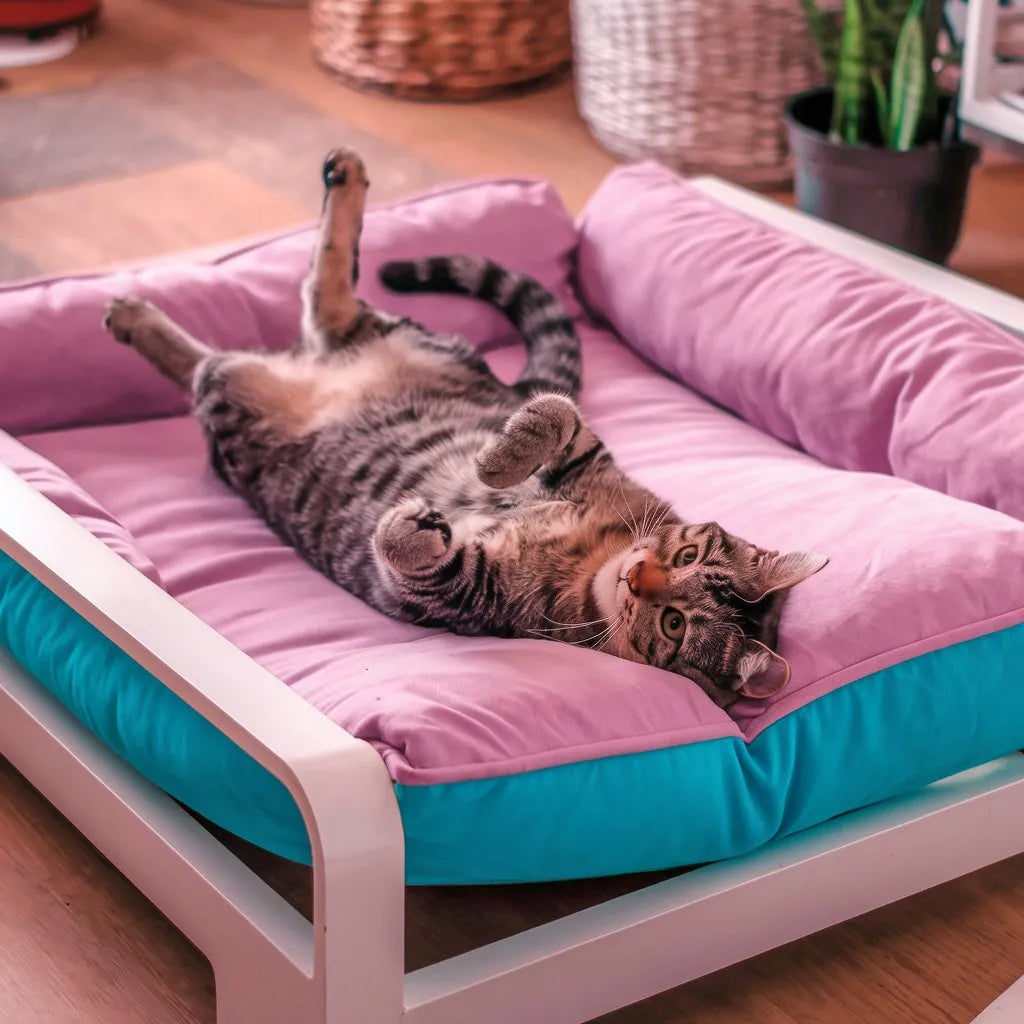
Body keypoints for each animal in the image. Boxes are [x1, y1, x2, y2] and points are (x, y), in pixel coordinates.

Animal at [102, 147, 826, 708]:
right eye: (685, 557)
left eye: (675, 623)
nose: (640, 575)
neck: (597, 557)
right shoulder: (588, 458)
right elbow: (558, 416)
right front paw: (498, 459)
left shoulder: (468, 600)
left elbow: (420, 561)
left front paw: (415, 525)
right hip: (400, 336)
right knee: (327, 287)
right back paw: (341, 178)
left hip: (233, 401)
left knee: (232, 350)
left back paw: (138, 317)